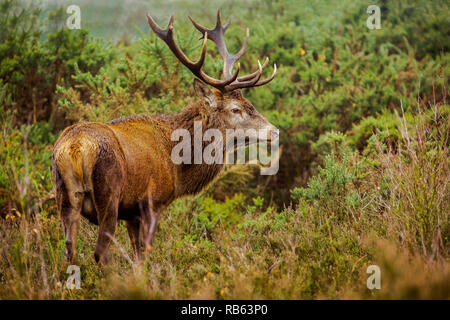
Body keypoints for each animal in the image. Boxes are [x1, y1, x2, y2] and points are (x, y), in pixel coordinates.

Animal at [51, 10, 278, 264]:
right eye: (235, 109)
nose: (274, 131)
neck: (179, 167)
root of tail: (75, 147)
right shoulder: (152, 202)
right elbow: (146, 252)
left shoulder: (131, 213)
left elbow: (137, 253)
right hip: (108, 196)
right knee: (100, 252)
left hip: (65, 198)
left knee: (69, 249)